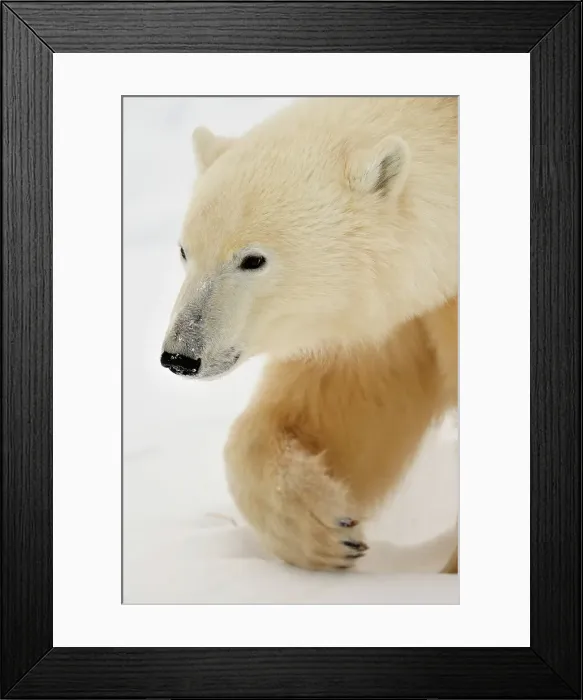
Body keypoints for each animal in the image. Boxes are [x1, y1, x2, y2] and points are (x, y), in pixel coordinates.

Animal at [161, 97, 459, 573]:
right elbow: (354, 398)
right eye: (185, 250)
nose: (180, 355)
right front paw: (326, 529)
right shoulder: (400, 313)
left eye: (253, 259)